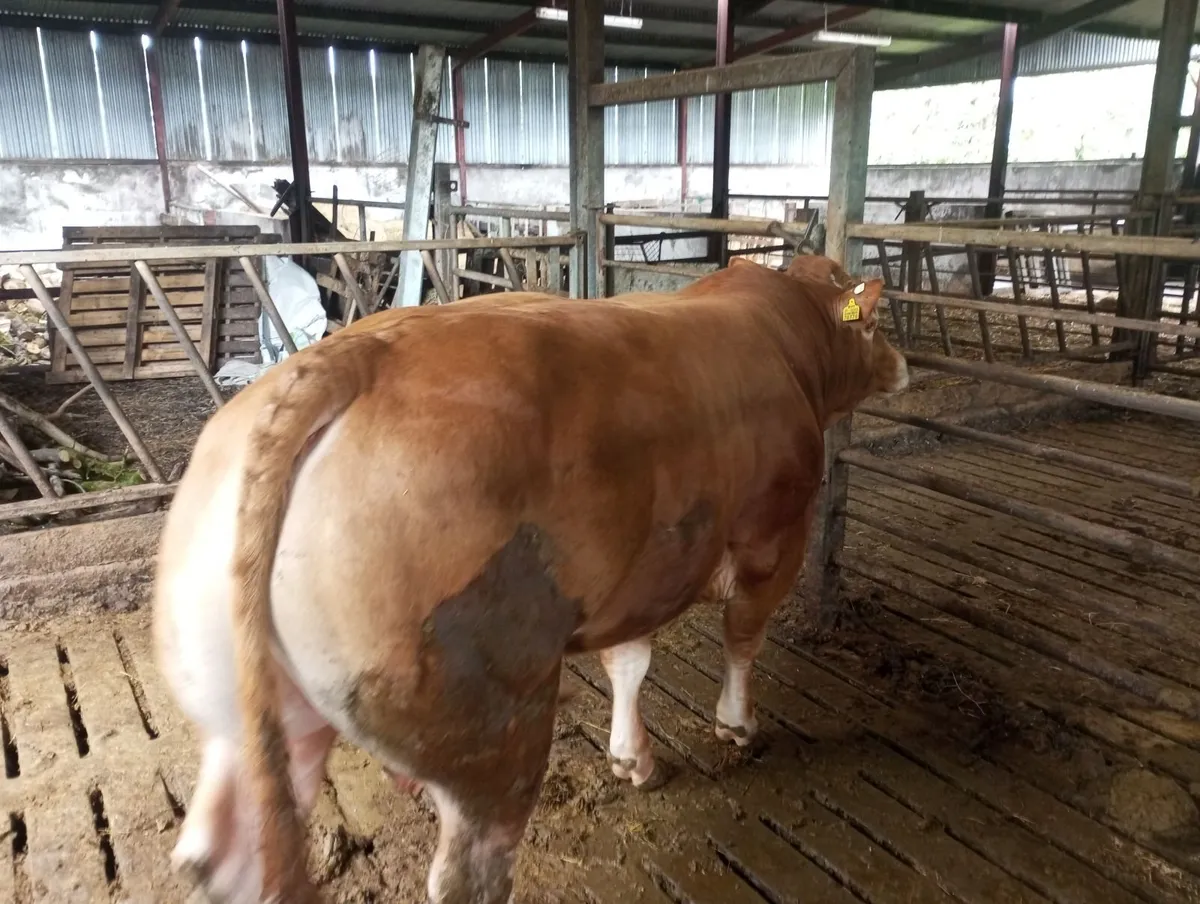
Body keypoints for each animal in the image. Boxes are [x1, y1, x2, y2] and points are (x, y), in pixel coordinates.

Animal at [153, 254, 908, 904]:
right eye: (874, 323)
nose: (901, 365)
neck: (779, 327)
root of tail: (350, 357)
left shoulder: (638, 573)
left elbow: (629, 661)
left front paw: (633, 759)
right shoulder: (773, 536)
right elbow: (743, 638)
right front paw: (738, 727)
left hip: (249, 712)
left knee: (226, 854)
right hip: (492, 724)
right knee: (470, 872)